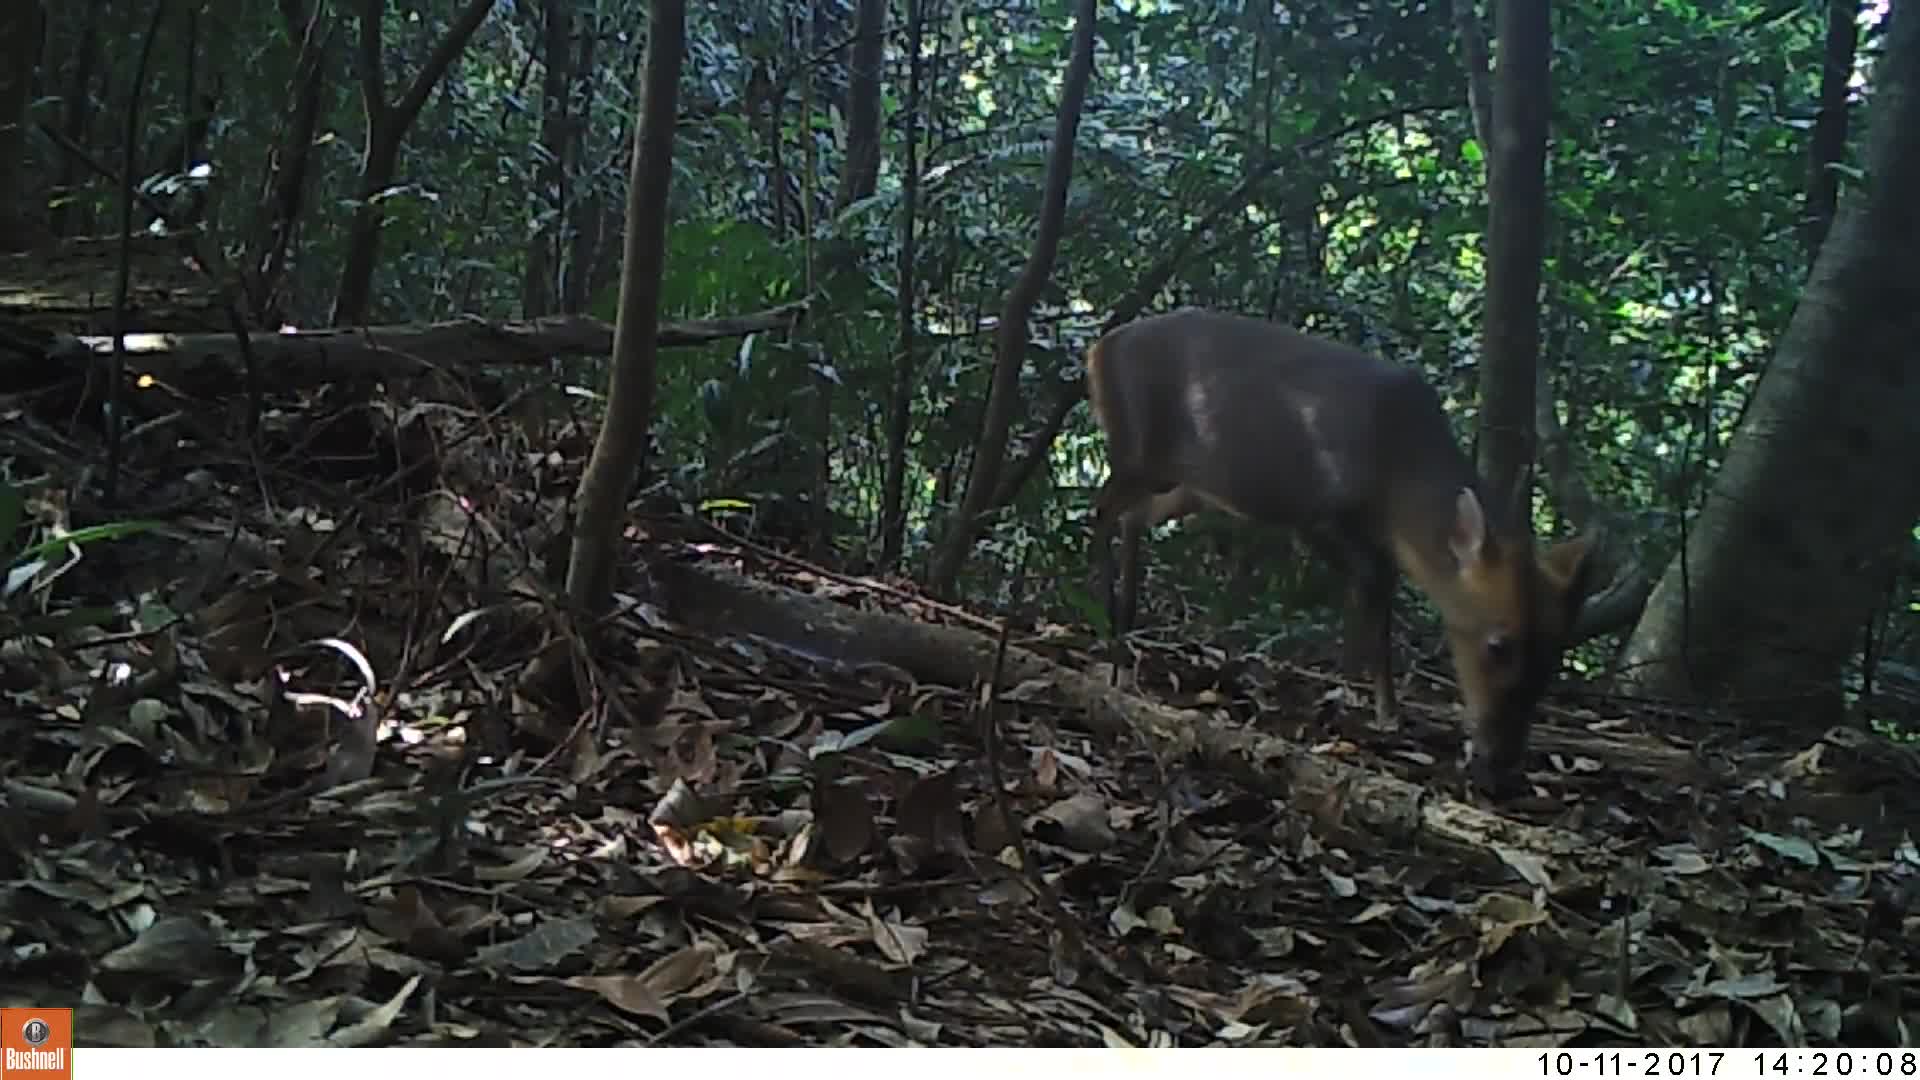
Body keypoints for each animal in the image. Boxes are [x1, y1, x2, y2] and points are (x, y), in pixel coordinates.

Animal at [1082, 307, 1605, 795]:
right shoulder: (1316, 510)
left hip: (1186, 482)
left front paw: (1364, 696)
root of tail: (1099, 349)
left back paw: (1125, 625)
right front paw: (1373, 706)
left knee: (1131, 517)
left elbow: (1374, 587)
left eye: (1556, 649)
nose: (1500, 765)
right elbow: (1373, 582)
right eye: (1498, 645)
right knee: (1102, 510)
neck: (1399, 476)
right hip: (1139, 450)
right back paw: (1108, 631)